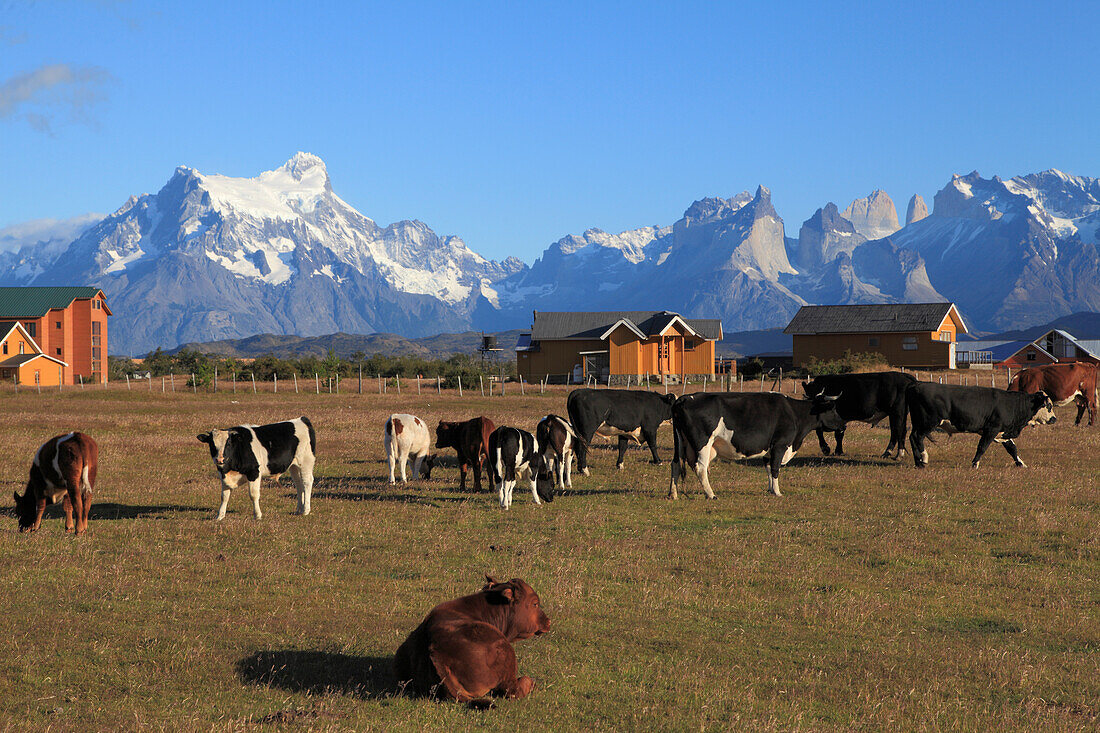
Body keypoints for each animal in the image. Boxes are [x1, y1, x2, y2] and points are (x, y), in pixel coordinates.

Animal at [660, 391, 840, 499]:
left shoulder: (768, 450)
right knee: (700, 468)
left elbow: (768, 468)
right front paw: (778, 492)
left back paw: (673, 494)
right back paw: (711, 494)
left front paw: (770, 490)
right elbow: (775, 469)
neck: (794, 413)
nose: (843, 424)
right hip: (702, 444)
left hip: (680, 442)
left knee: (675, 465)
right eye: (832, 409)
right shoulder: (780, 445)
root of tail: (684, 398)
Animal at [902, 383, 1056, 468]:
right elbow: (982, 447)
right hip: (928, 422)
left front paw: (1021, 464)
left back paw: (918, 462)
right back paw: (923, 459)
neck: (1012, 405)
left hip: (918, 423)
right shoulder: (991, 429)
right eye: (1048, 405)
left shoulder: (1002, 433)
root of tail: (916, 385)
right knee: (917, 437)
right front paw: (975, 464)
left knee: (912, 437)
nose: (1054, 419)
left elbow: (1012, 449)